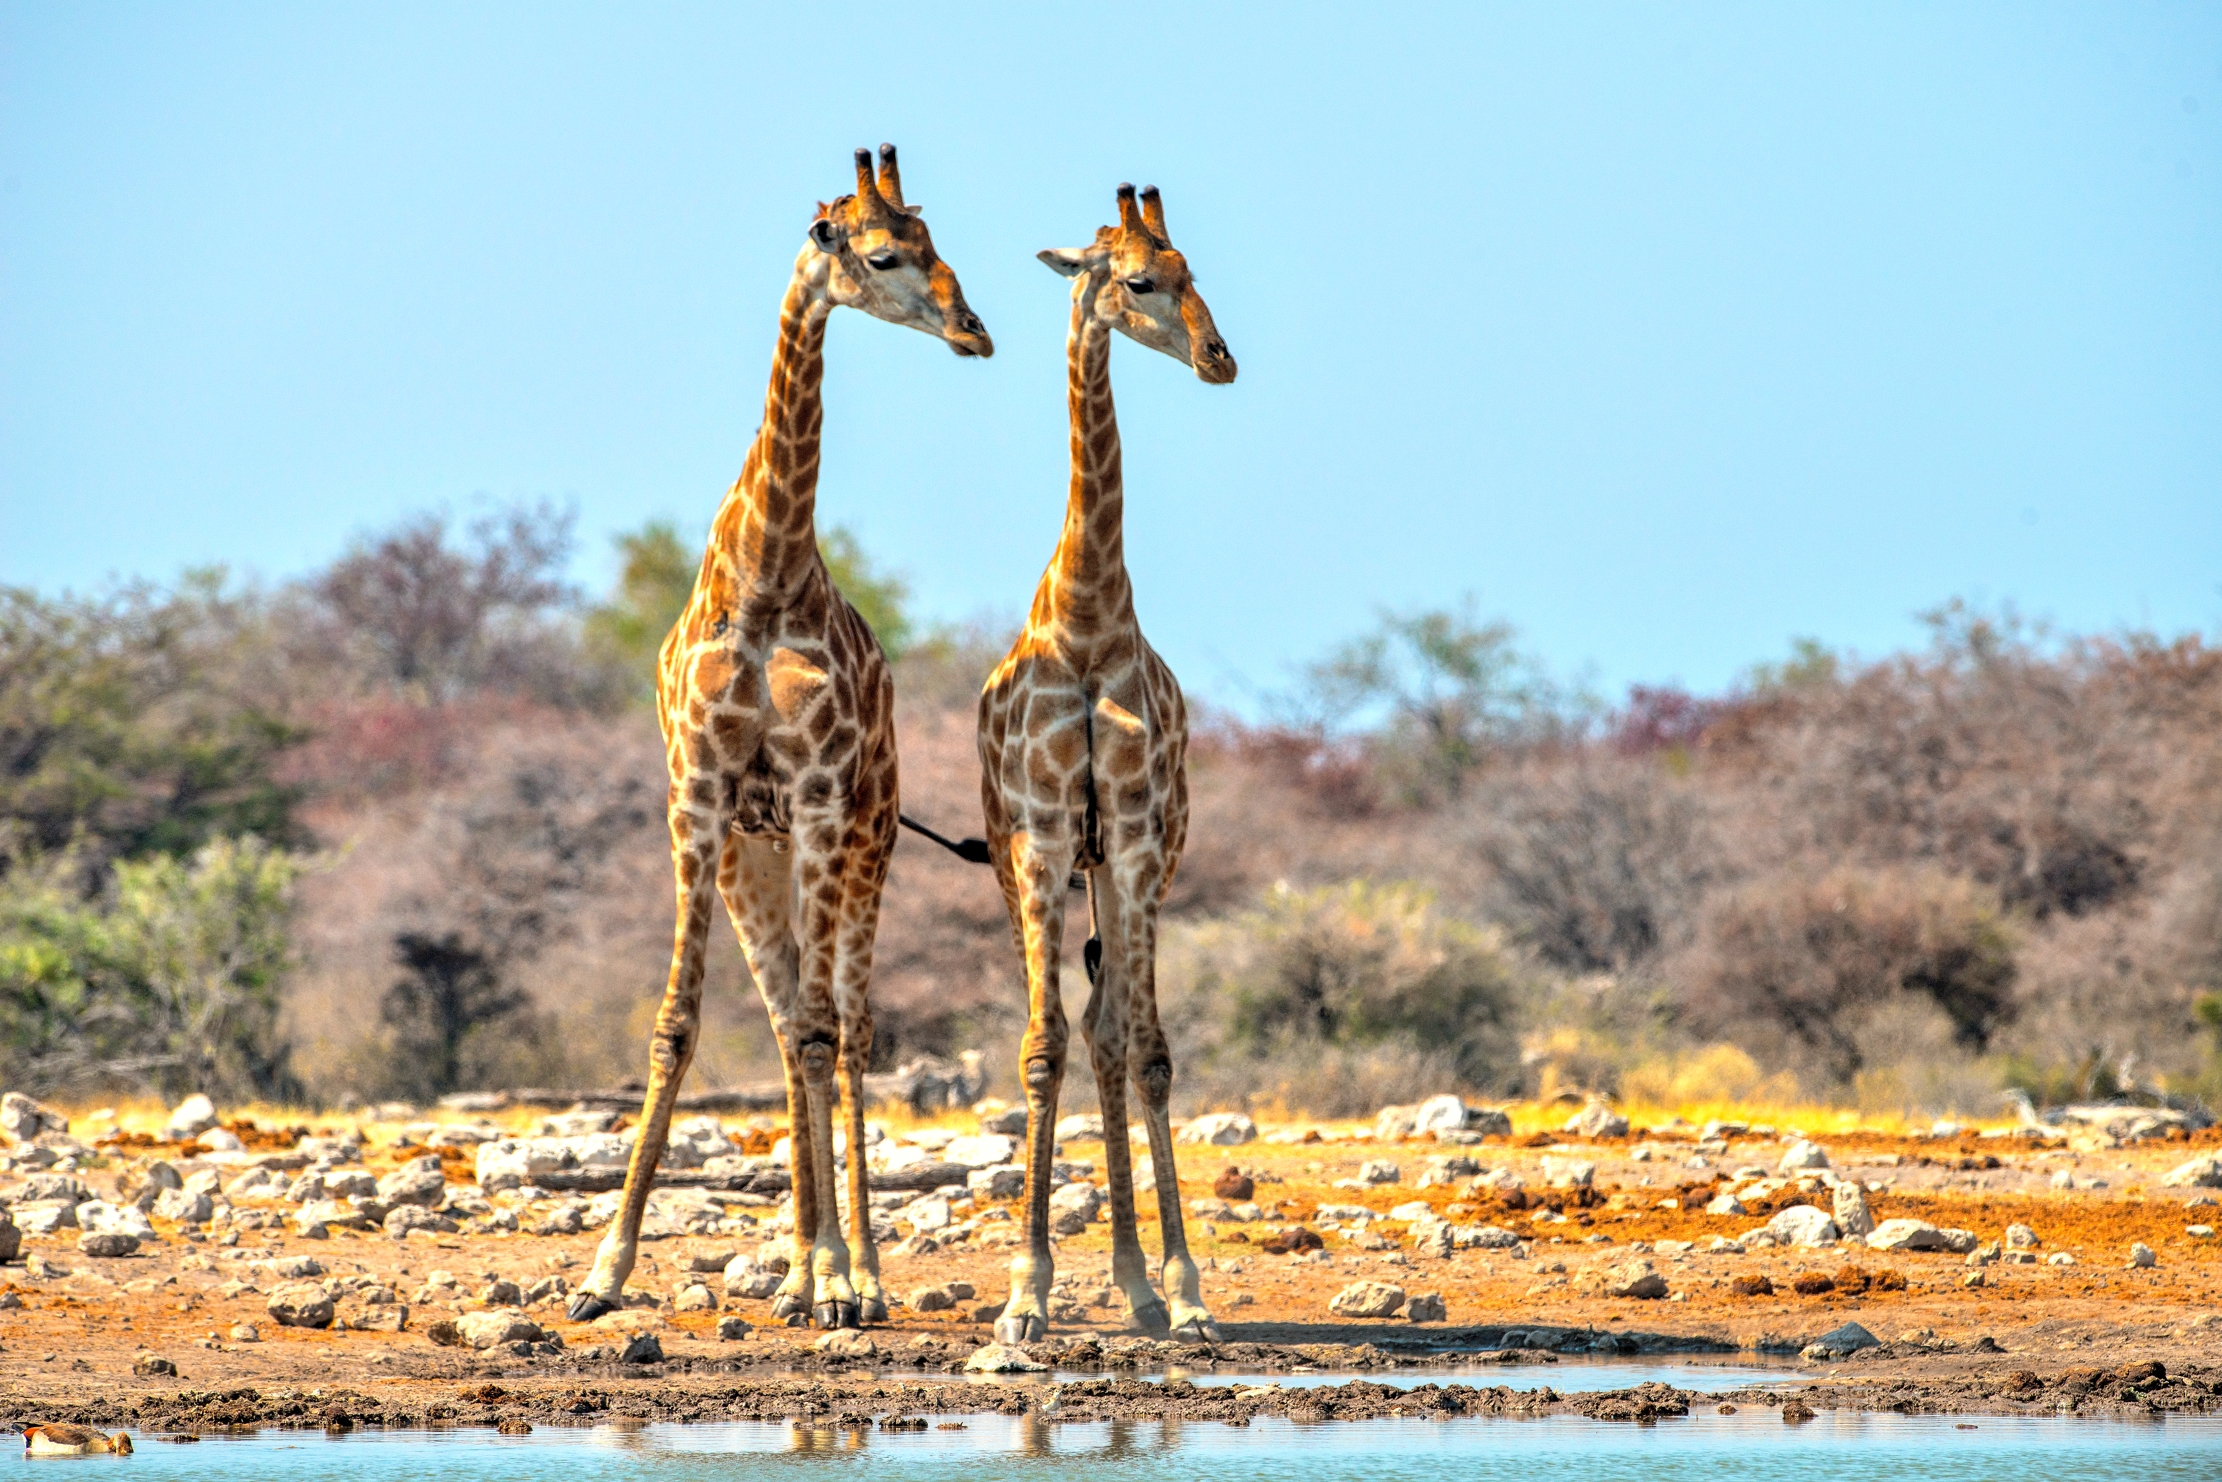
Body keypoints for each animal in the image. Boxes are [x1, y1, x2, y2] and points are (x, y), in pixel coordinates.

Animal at [567, 145, 992, 1329]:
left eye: (941, 244)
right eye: (884, 253)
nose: (974, 331)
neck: (761, 578)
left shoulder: (812, 796)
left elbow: (818, 1029)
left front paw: (846, 1278)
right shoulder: (699, 797)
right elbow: (677, 1025)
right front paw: (601, 1273)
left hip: (864, 844)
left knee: (843, 1026)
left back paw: (859, 1276)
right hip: (755, 865)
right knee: (789, 1020)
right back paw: (803, 1271)